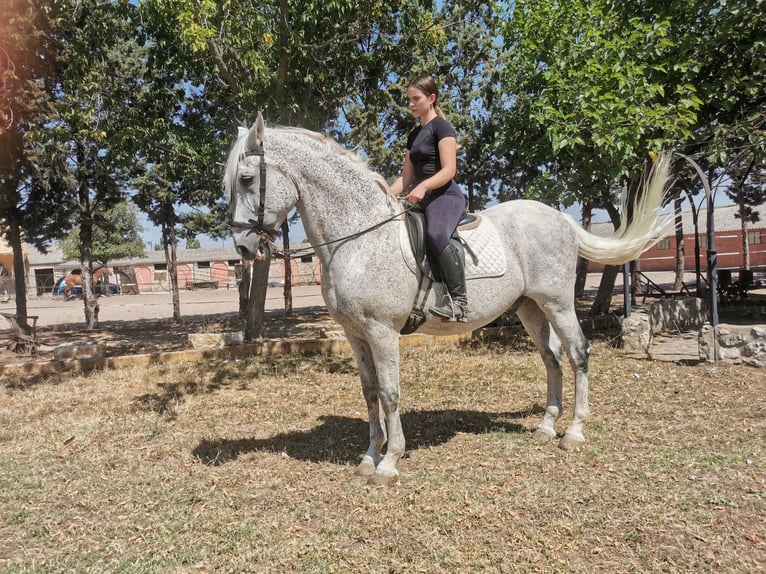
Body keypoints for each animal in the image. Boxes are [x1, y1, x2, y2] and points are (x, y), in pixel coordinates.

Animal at [225, 113, 673, 485]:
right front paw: (369, 457)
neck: (359, 237)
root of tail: (559, 217)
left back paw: (574, 432)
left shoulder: (382, 331)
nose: (243, 247)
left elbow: (389, 394)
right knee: (552, 358)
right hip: (529, 307)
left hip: (558, 302)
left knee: (578, 353)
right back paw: (546, 427)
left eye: (246, 180)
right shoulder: (355, 334)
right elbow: (369, 393)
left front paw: (390, 462)